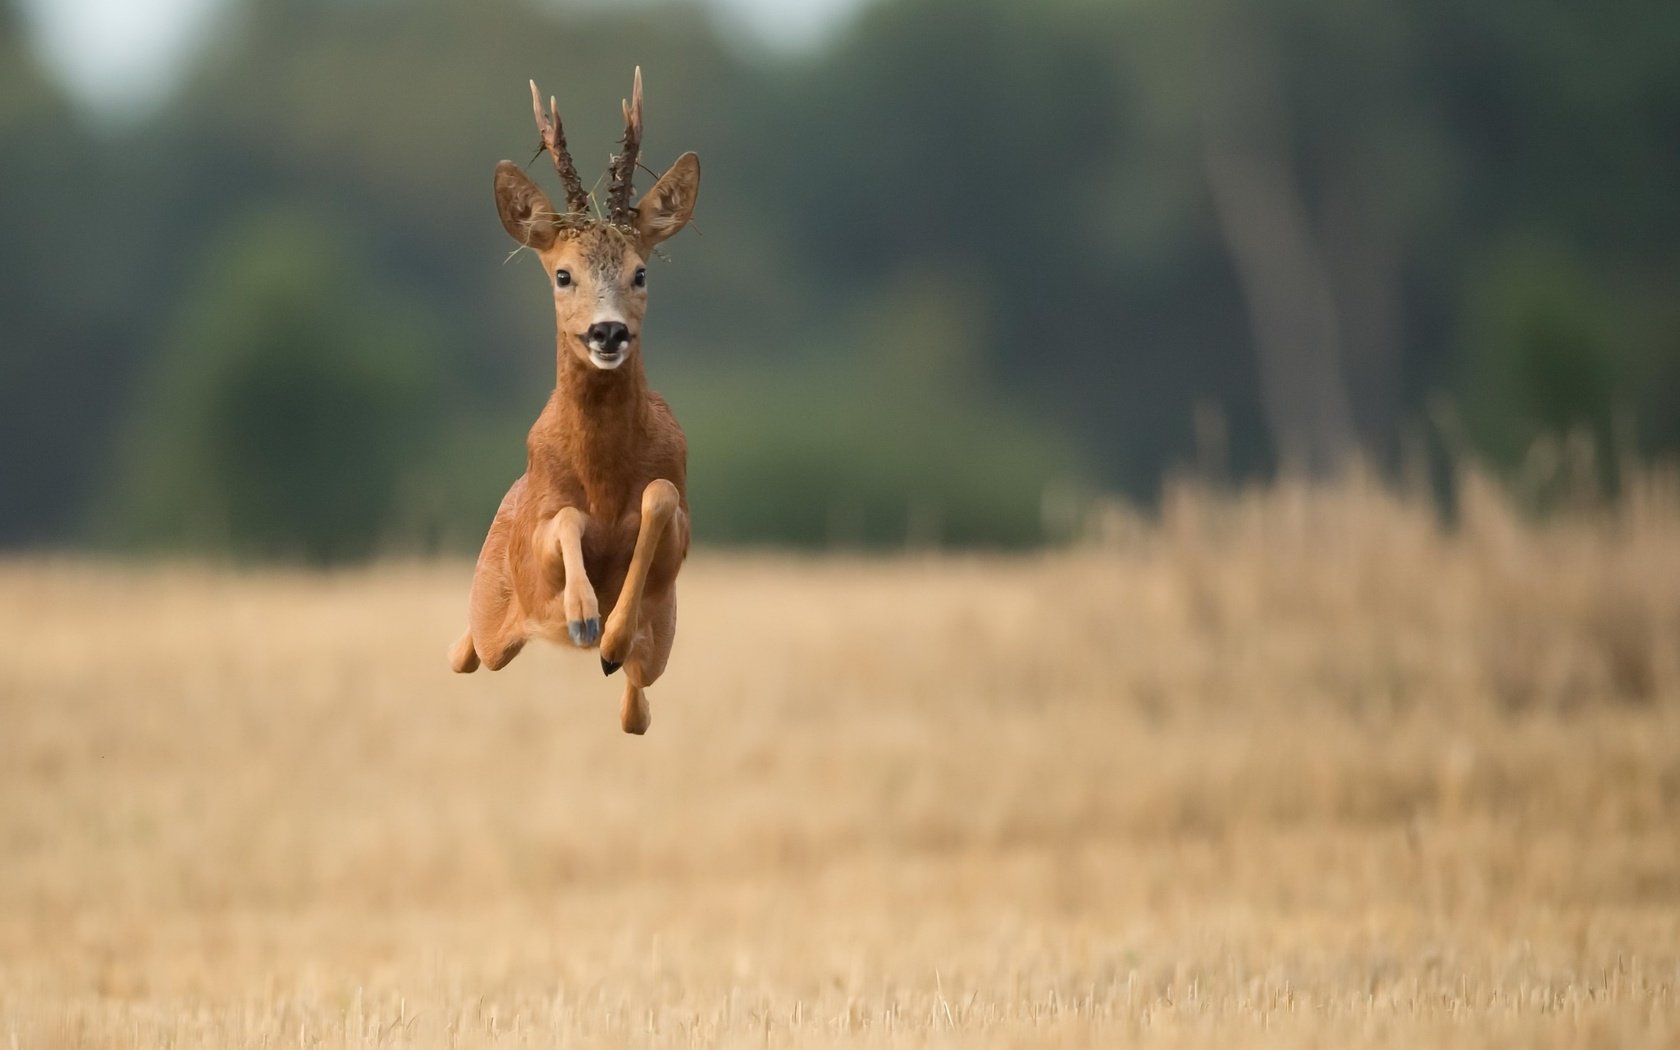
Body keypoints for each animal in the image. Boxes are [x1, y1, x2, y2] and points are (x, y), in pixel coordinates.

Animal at [446, 69, 695, 732]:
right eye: (563, 274)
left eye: (640, 272)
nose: (608, 333)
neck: (604, 477)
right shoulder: (539, 537)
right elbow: (565, 520)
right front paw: (585, 615)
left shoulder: (677, 536)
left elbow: (659, 498)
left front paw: (608, 634)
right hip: (492, 609)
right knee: (468, 651)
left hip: (662, 646)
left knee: (637, 709)